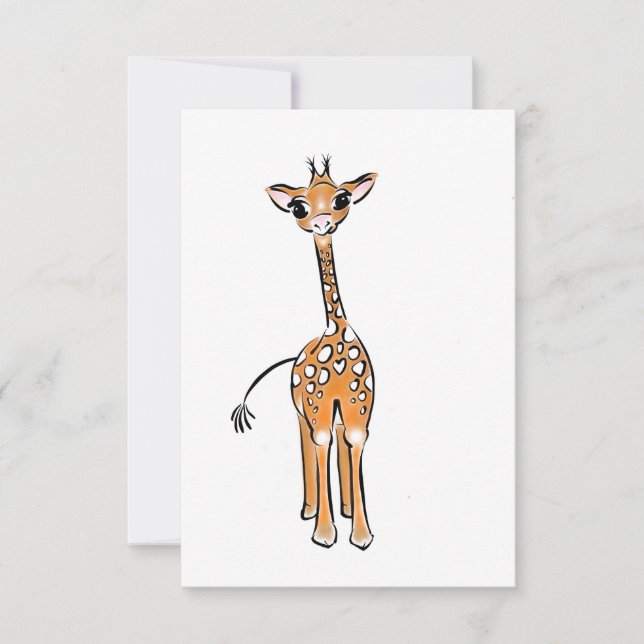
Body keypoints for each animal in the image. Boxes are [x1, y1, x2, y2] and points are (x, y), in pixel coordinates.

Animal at [231, 156, 377, 550]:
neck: (336, 333)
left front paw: (360, 534)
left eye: (342, 199)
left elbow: (354, 445)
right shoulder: (316, 408)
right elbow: (320, 445)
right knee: (308, 444)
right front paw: (324, 534)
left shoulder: (359, 410)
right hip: (302, 411)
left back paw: (345, 509)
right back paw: (310, 510)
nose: (322, 223)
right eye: (299, 207)